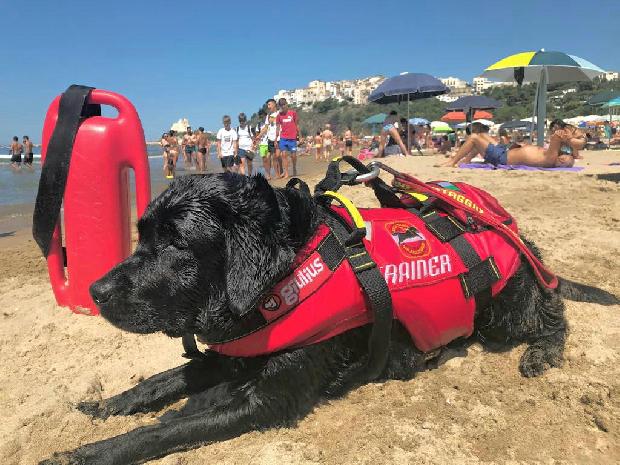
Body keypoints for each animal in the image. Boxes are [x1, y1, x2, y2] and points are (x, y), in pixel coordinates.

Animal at [41, 172, 616, 462]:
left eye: (177, 242)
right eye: (141, 235)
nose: (94, 290)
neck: (285, 275)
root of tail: (511, 231)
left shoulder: (268, 401)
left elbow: (163, 431)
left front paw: (83, 454)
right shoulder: (234, 353)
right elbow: (162, 382)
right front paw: (108, 404)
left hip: (506, 308)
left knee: (555, 309)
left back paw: (543, 352)